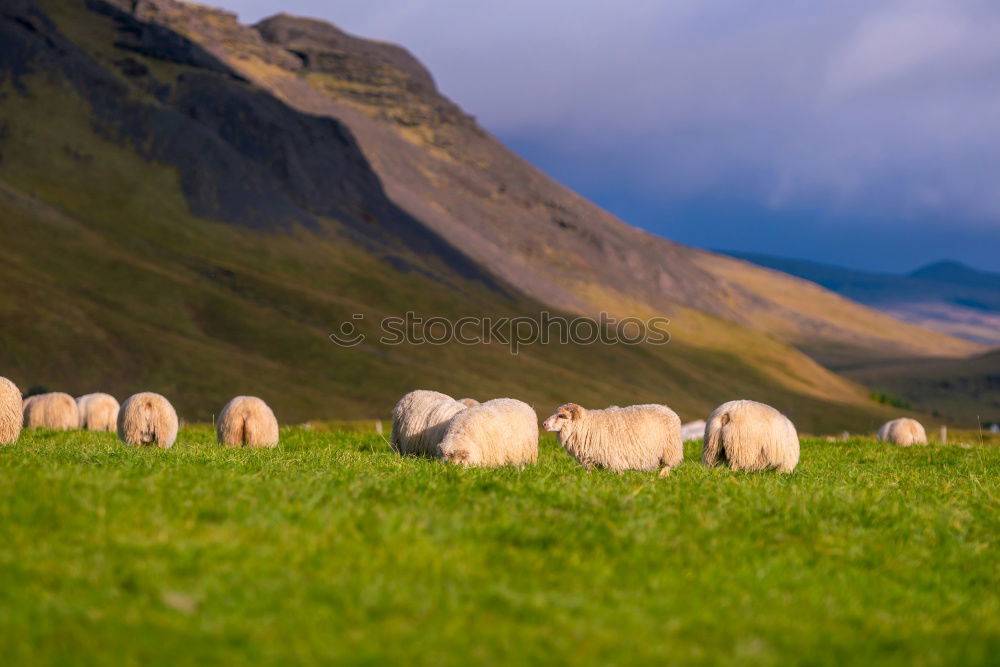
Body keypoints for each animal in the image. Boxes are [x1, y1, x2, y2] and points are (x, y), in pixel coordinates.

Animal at [544, 402, 684, 474]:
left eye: (561, 416)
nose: (544, 424)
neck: (587, 425)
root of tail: (668, 409)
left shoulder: (615, 459)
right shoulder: (590, 461)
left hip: (670, 449)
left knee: (667, 466)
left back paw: (662, 477)